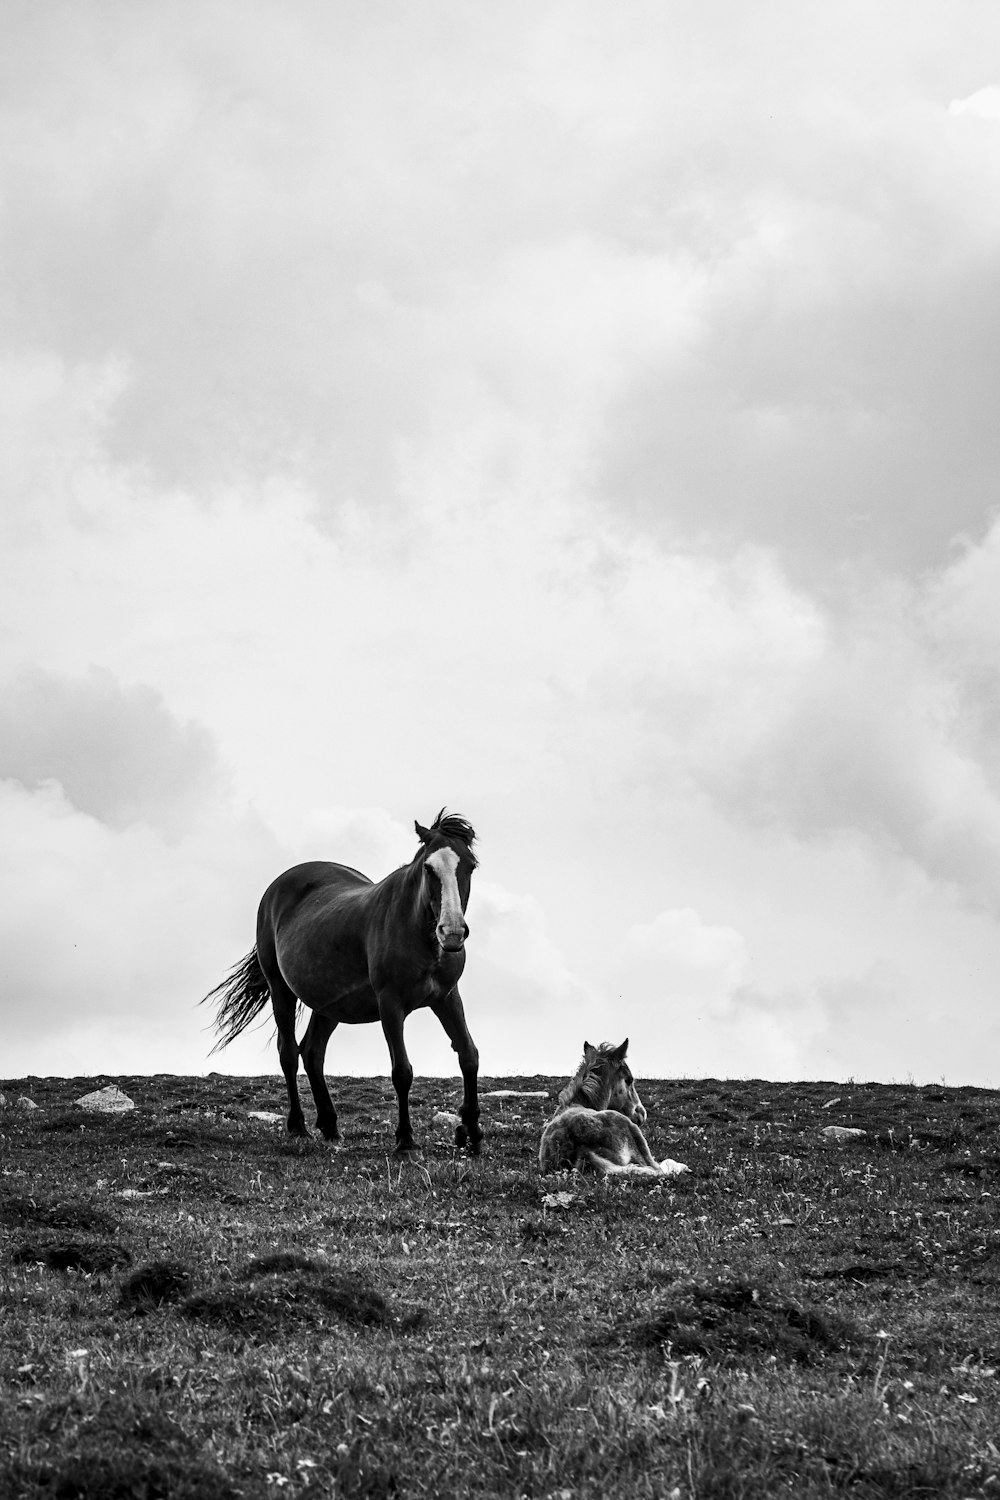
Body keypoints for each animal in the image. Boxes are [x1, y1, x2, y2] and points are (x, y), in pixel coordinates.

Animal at [202, 810, 479, 1158]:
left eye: (469, 865)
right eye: (429, 868)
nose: (452, 932)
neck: (419, 934)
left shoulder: (446, 998)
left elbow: (468, 1055)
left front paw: (472, 1133)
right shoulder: (391, 1005)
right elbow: (402, 1072)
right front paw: (405, 1141)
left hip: (329, 1005)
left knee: (312, 1052)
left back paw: (330, 1127)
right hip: (281, 989)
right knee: (289, 1053)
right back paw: (299, 1127)